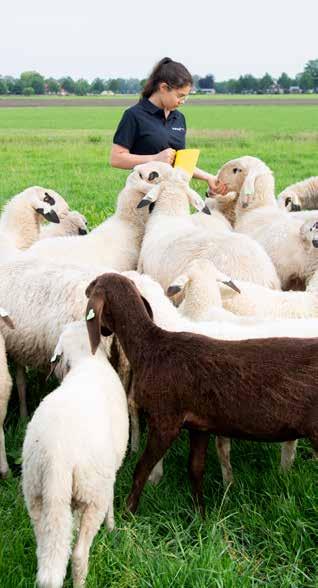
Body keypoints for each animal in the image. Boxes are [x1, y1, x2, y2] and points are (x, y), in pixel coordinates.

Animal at [21, 322, 129, 588]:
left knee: (46, 551)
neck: (85, 361)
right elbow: (112, 499)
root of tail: (56, 456)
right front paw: (112, 526)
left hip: (35, 491)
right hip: (92, 491)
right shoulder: (108, 474)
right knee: (80, 554)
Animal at [85, 272, 318, 516]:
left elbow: (142, 468)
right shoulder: (200, 425)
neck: (149, 346)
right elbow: (195, 469)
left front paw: (128, 512)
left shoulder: (165, 420)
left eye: (90, 288)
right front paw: (201, 514)